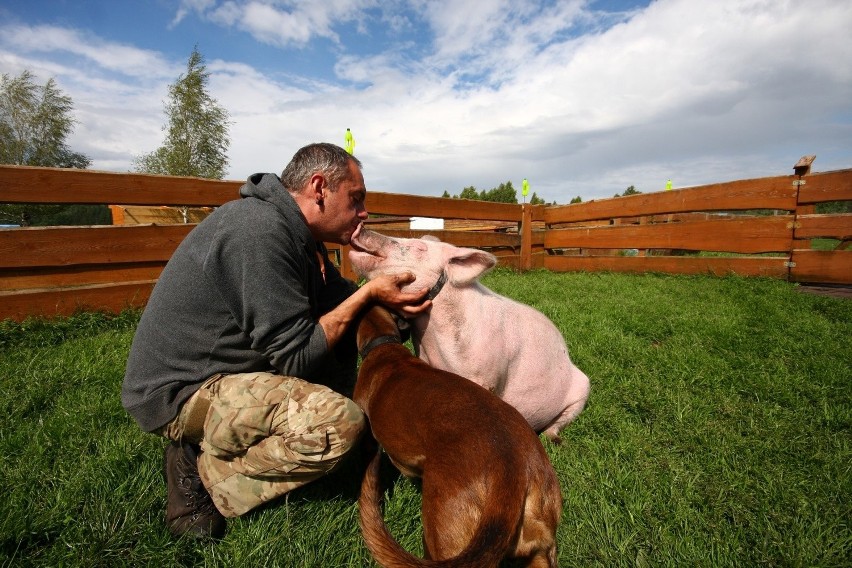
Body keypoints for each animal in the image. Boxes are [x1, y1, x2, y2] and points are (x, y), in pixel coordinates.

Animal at [350, 225, 588, 440]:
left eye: (419, 248)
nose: (362, 228)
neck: (433, 337)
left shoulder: (488, 376)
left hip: (583, 391)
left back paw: (551, 438)